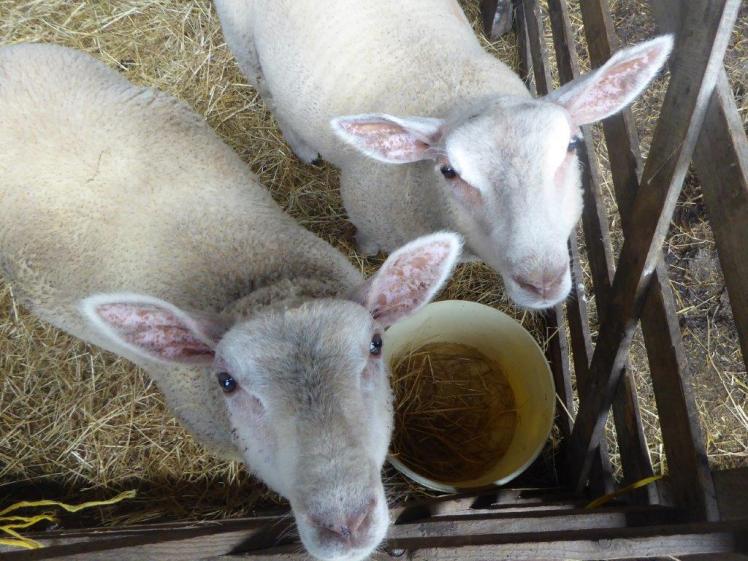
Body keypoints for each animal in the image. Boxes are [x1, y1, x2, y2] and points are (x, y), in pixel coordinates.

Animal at [214, 0, 672, 309]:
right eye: (449, 172)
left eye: (572, 146)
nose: (541, 281)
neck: (461, 92)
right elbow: (369, 241)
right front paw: (364, 249)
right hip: (242, 40)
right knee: (269, 95)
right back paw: (303, 147)